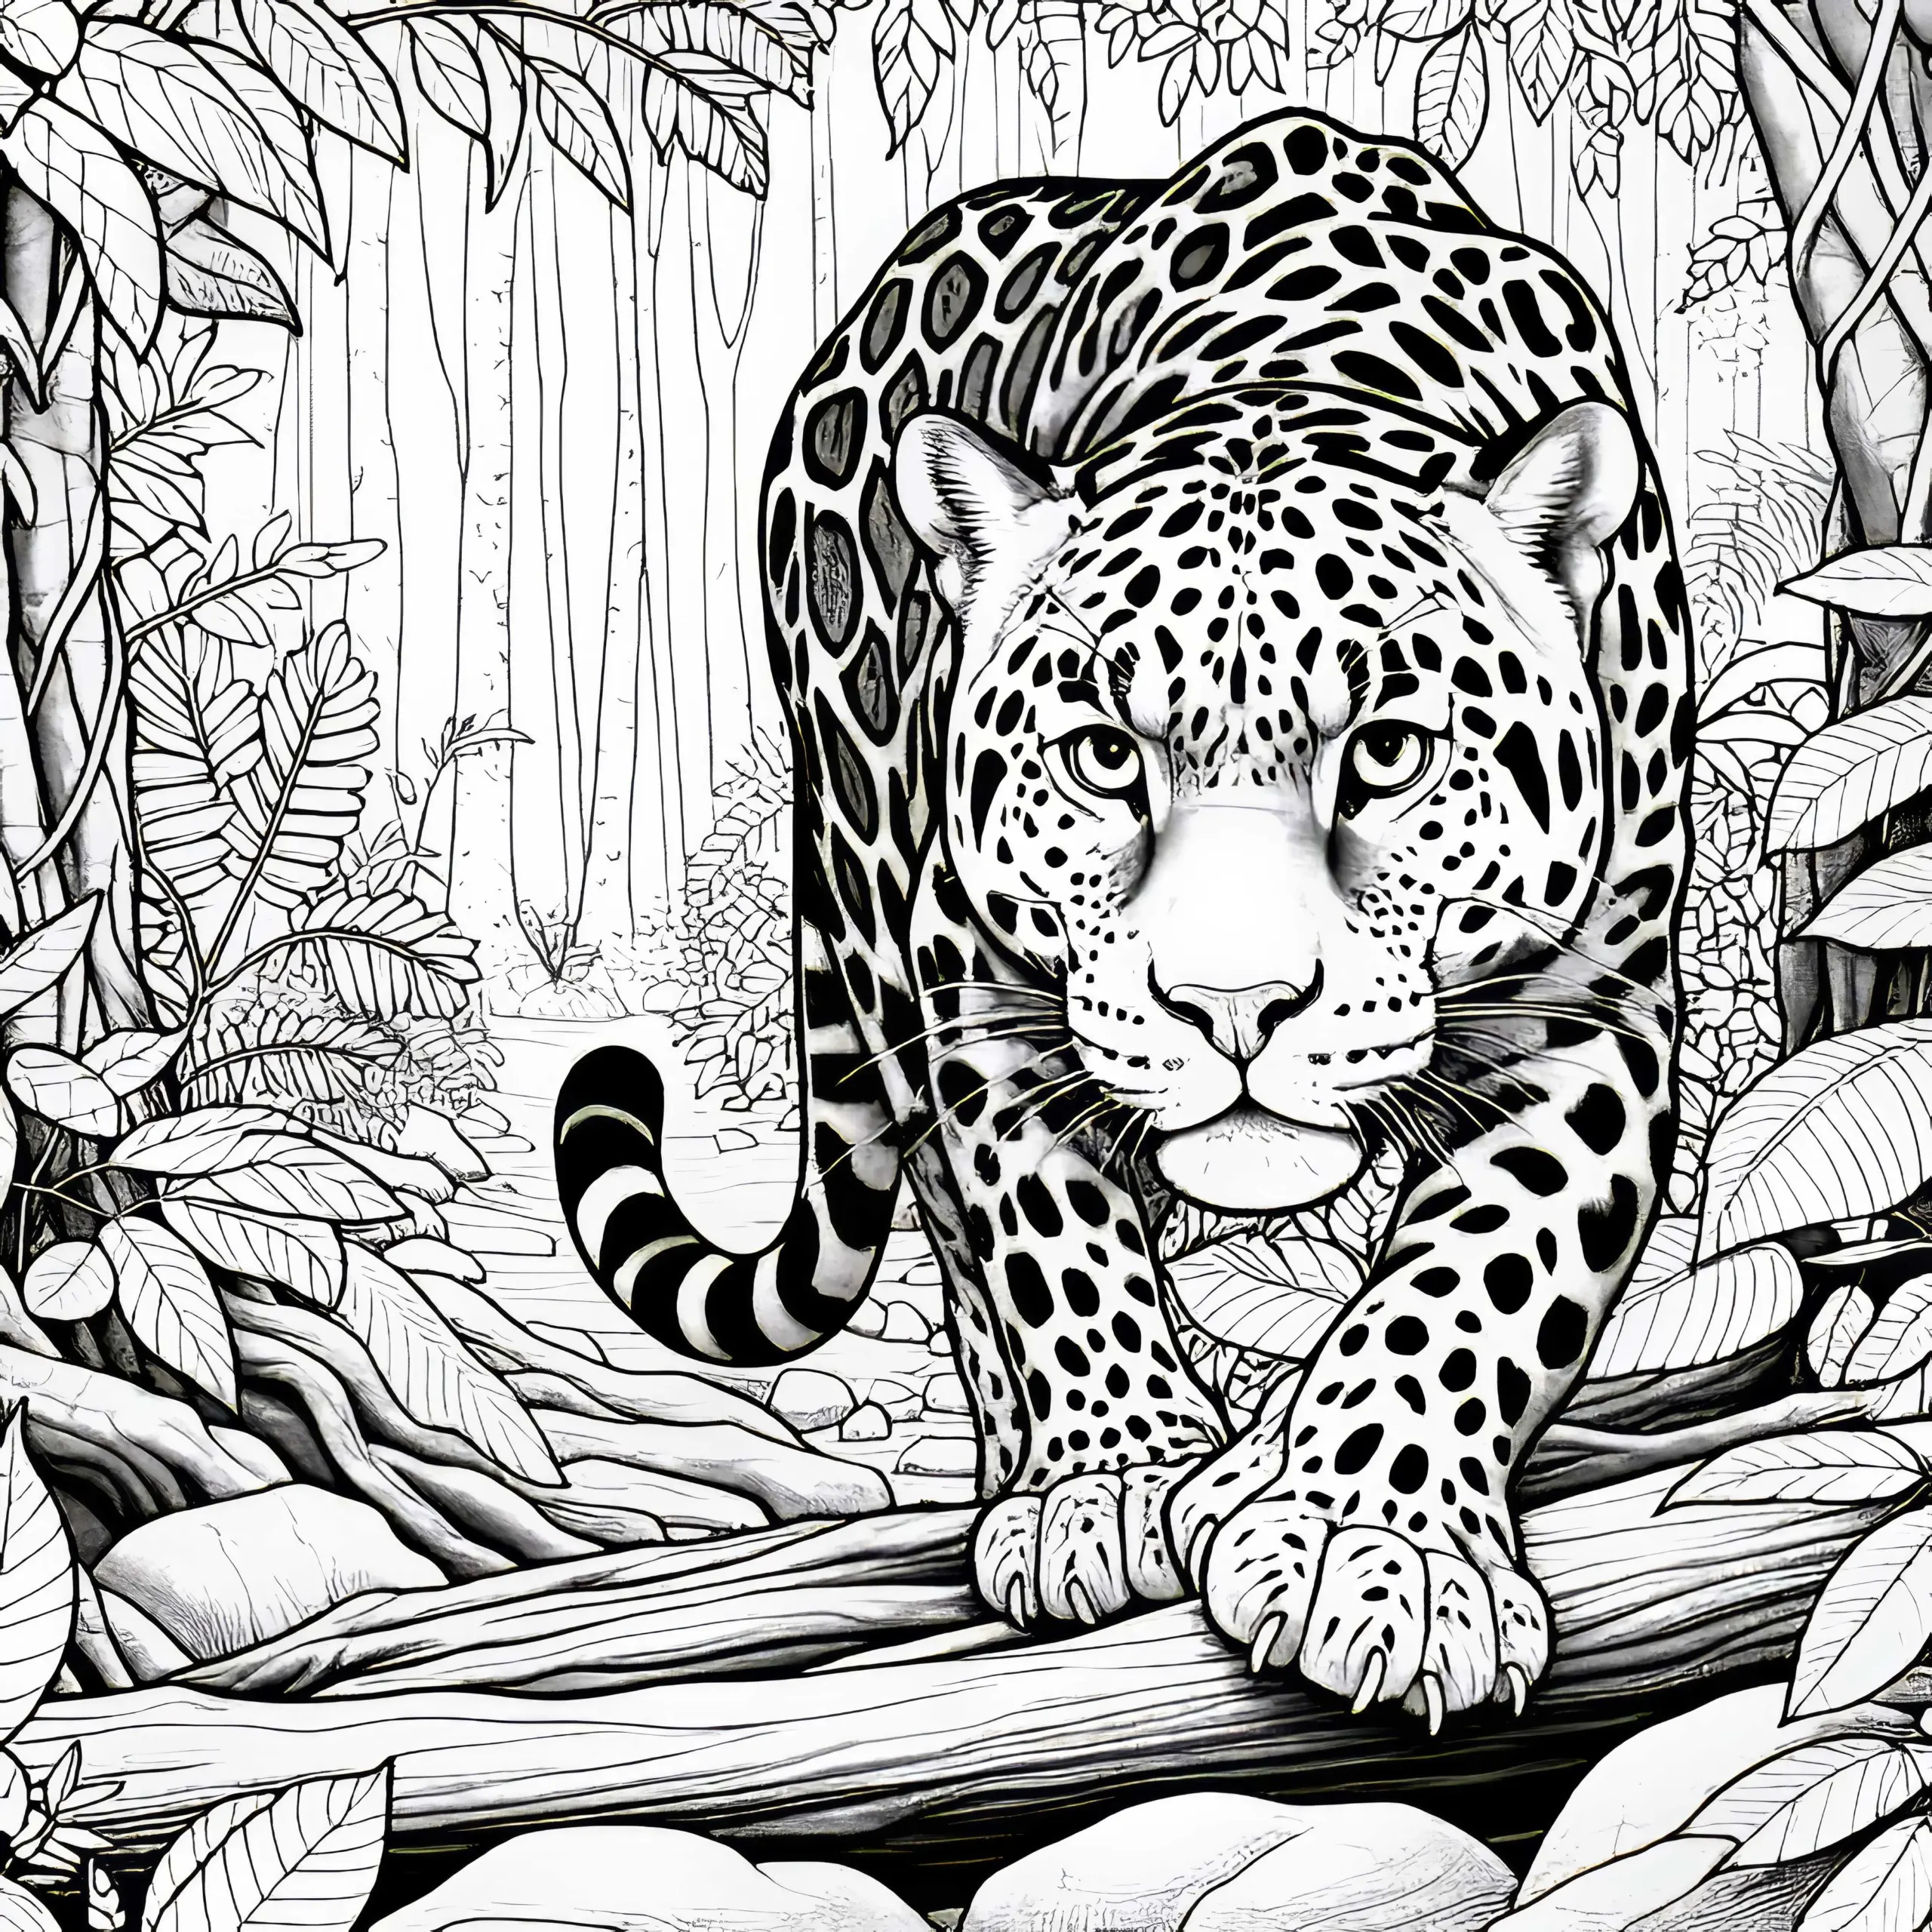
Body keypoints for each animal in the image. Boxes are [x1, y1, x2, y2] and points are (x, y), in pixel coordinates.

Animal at [554, 106, 1690, 1731]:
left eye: (1387, 753)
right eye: (1102, 756)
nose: (1233, 1009)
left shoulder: (1591, 1009)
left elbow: (1472, 1277)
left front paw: (1369, 1543)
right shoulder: (976, 984)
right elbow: (1049, 1236)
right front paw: (1117, 1478)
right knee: (952, 1232)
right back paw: (1026, 1473)